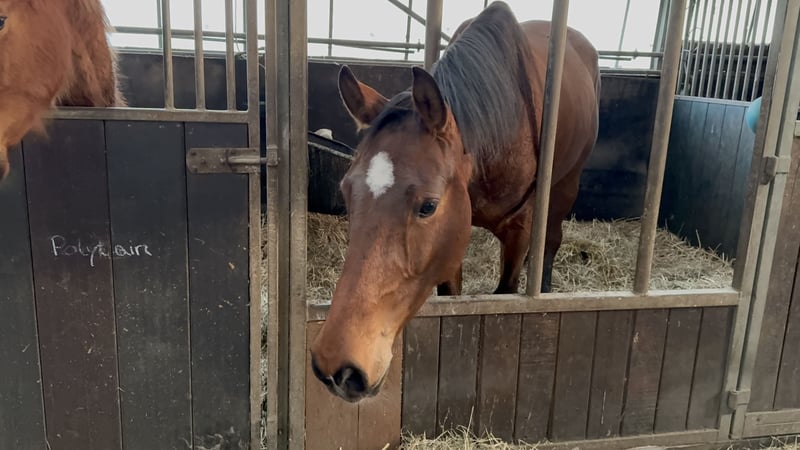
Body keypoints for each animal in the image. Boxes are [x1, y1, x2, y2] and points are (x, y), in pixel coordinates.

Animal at [310, 1, 600, 403]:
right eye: (346, 192)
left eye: (428, 206)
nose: (337, 366)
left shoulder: (520, 230)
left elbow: (507, 290)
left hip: (566, 184)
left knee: (552, 240)